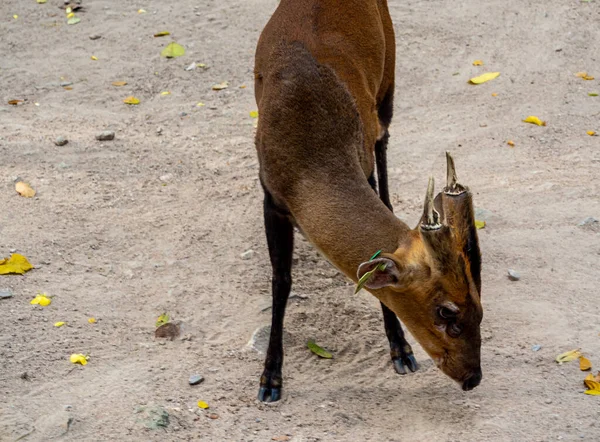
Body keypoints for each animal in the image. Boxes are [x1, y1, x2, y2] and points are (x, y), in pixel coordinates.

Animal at [253, 0, 482, 404]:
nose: (474, 377)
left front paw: (401, 350)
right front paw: (270, 379)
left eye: (481, 306)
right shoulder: (271, 196)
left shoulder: (363, 157)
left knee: (385, 142)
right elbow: (281, 281)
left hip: (388, 76)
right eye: (446, 312)